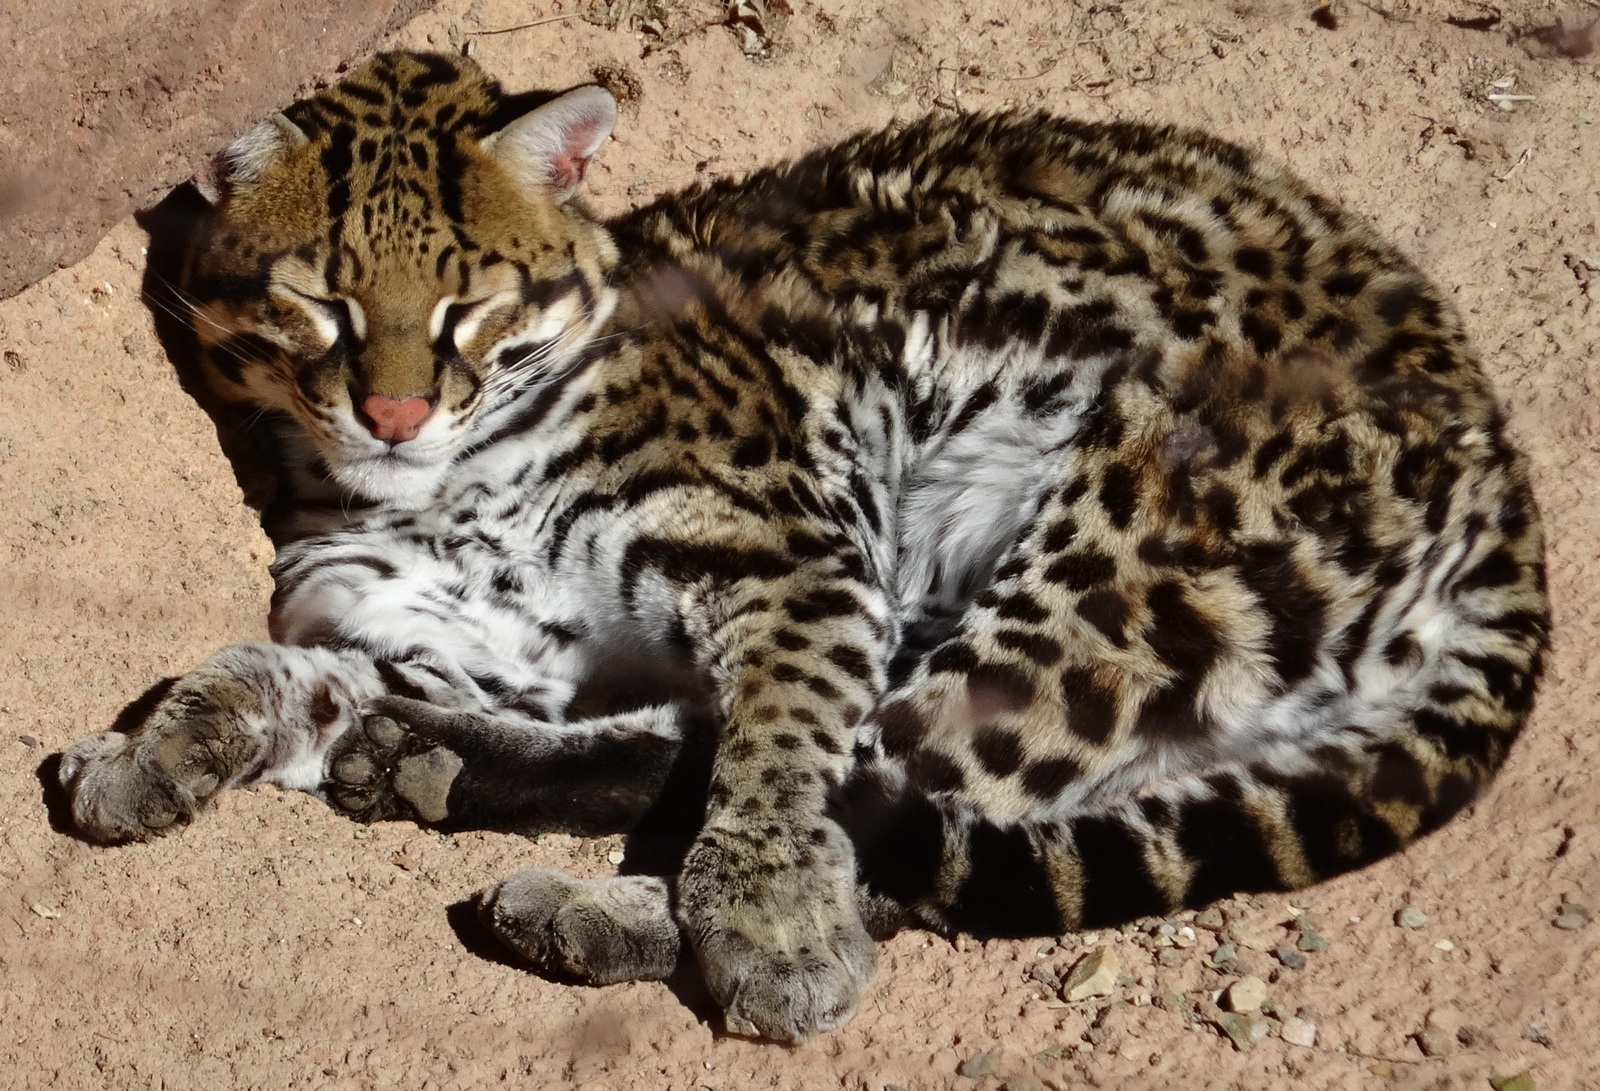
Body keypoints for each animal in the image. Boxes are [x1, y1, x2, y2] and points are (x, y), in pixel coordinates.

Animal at [58, 51, 1548, 1043]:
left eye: (471, 303)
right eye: (320, 299)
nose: (395, 412)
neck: (439, 486)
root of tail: (1496, 452)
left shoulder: (799, 560)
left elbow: (777, 763)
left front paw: (768, 922)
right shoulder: (477, 642)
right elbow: (294, 666)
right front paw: (171, 739)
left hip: (1107, 576)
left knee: (889, 799)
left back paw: (630, 905)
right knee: (747, 754)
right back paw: (443, 770)